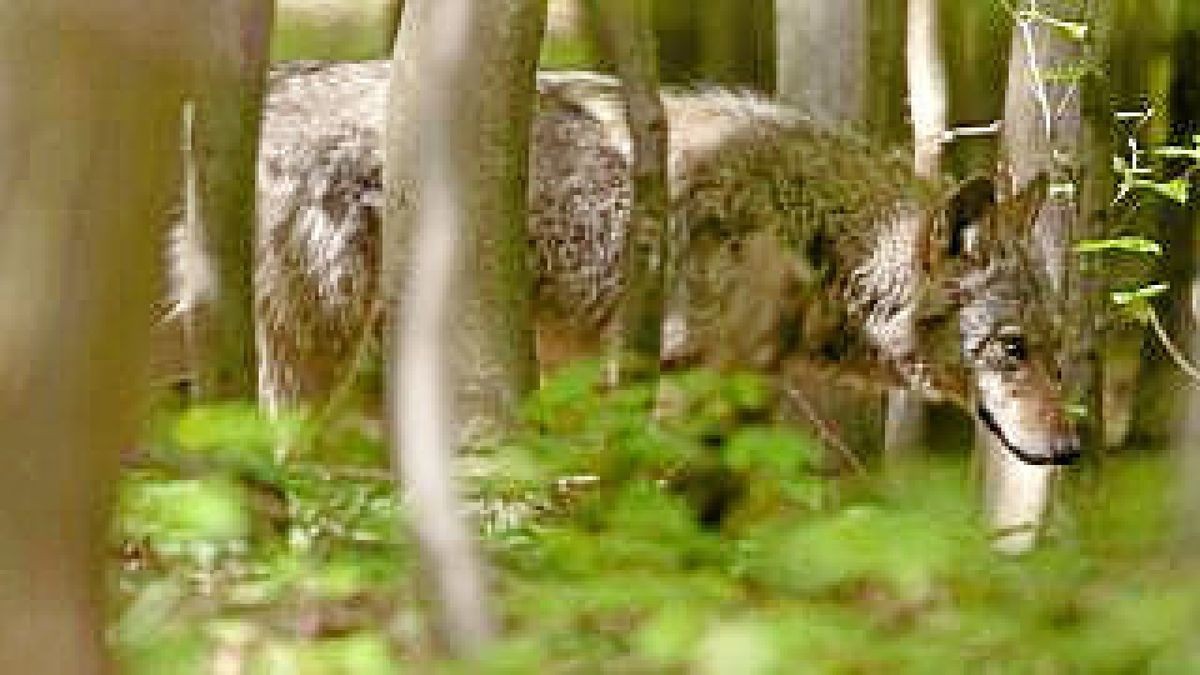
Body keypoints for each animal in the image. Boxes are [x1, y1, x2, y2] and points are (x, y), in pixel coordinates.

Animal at [166, 60, 1080, 466]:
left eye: (1056, 350)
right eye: (1010, 349)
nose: (1073, 448)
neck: (812, 231)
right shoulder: (656, 369)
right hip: (317, 360)